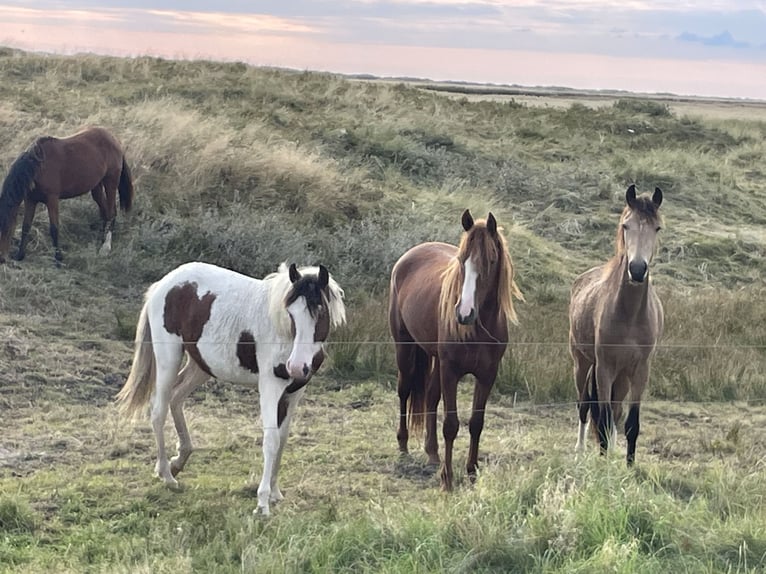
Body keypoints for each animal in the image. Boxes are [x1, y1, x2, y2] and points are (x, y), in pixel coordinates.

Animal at [0, 126, 134, 264]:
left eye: (5, 228)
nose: (1, 259)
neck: (37, 168)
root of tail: (114, 139)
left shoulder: (52, 199)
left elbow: (54, 228)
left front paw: (58, 259)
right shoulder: (30, 200)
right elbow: (26, 226)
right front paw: (20, 255)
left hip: (110, 182)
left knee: (111, 213)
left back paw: (105, 248)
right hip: (97, 186)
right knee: (105, 212)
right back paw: (101, 240)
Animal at [116, 261, 346, 516]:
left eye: (320, 312)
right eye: (291, 313)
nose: (296, 367)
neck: (282, 334)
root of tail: (165, 283)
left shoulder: (295, 392)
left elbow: (283, 438)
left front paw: (275, 492)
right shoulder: (270, 386)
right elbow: (271, 440)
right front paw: (262, 503)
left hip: (201, 365)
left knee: (176, 398)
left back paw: (178, 460)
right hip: (169, 357)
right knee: (159, 410)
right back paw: (167, 475)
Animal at [389, 209, 524, 491]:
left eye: (491, 260)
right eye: (462, 260)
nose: (464, 313)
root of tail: (408, 256)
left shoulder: (487, 375)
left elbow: (476, 423)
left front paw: (472, 472)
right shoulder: (451, 371)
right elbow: (451, 425)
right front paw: (447, 479)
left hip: (435, 359)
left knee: (430, 396)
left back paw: (432, 453)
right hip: (405, 348)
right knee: (404, 390)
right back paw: (403, 443)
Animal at [569, 184, 664, 466]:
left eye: (657, 228)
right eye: (626, 225)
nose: (637, 269)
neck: (629, 314)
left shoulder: (640, 370)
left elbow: (630, 423)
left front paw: (629, 465)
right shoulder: (604, 368)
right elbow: (601, 417)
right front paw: (602, 463)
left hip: (621, 377)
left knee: (615, 410)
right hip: (582, 363)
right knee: (584, 406)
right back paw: (580, 451)